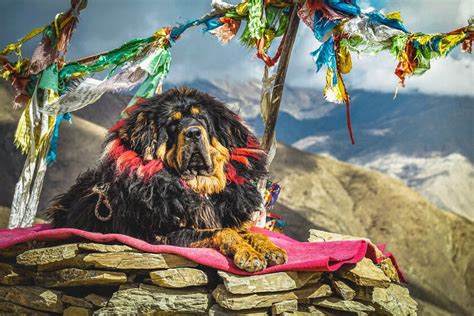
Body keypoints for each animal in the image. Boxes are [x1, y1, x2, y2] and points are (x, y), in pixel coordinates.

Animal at [46, 86, 286, 272]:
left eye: (201, 118)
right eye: (173, 123)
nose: (193, 133)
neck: (198, 188)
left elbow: (250, 232)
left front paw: (270, 248)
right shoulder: (164, 235)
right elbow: (224, 232)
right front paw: (249, 254)